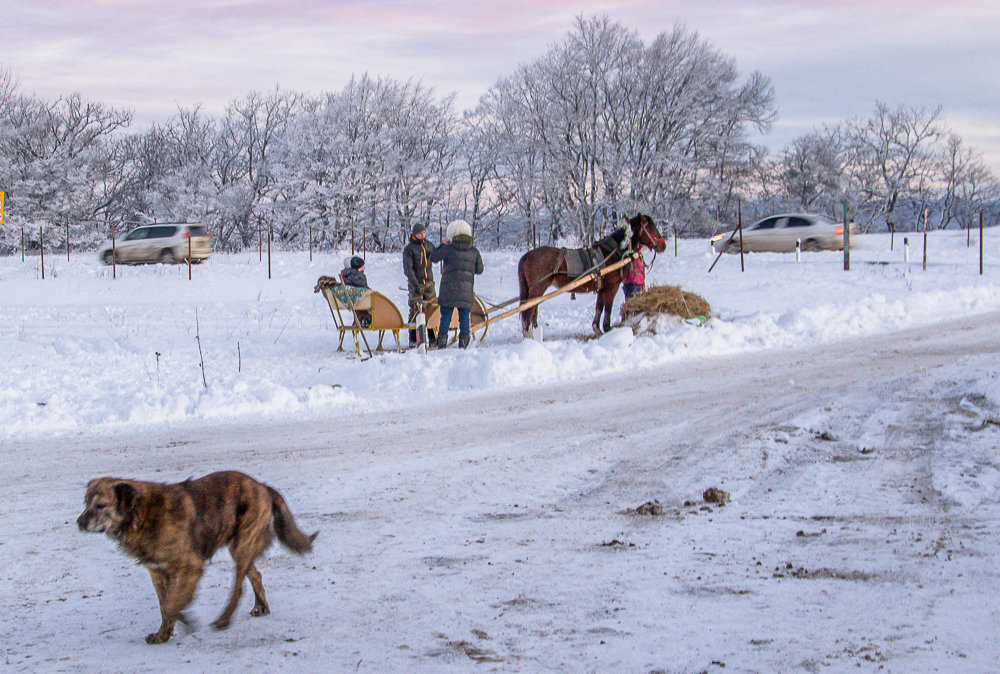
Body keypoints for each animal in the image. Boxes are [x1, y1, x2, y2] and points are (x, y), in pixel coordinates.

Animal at [77, 470, 316, 644]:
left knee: (238, 588)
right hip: (239, 546)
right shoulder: (157, 572)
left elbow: (172, 604)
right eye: (85, 503)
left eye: (100, 505)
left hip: (242, 544)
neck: (142, 514)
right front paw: (163, 634)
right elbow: (165, 605)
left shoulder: (191, 566)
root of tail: (262, 486)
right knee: (256, 575)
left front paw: (185, 619)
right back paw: (261, 606)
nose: (79, 522)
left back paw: (224, 619)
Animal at [520, 213, 668, 336]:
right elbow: (608, 308)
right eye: (651, 228)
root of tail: (527, 255)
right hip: (537, 289)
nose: (663, 245)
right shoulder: (612, 286)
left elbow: (599, 308)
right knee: (527, 313)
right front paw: (607, 329)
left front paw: (597, 329)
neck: (613, 251)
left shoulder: (602, 288)